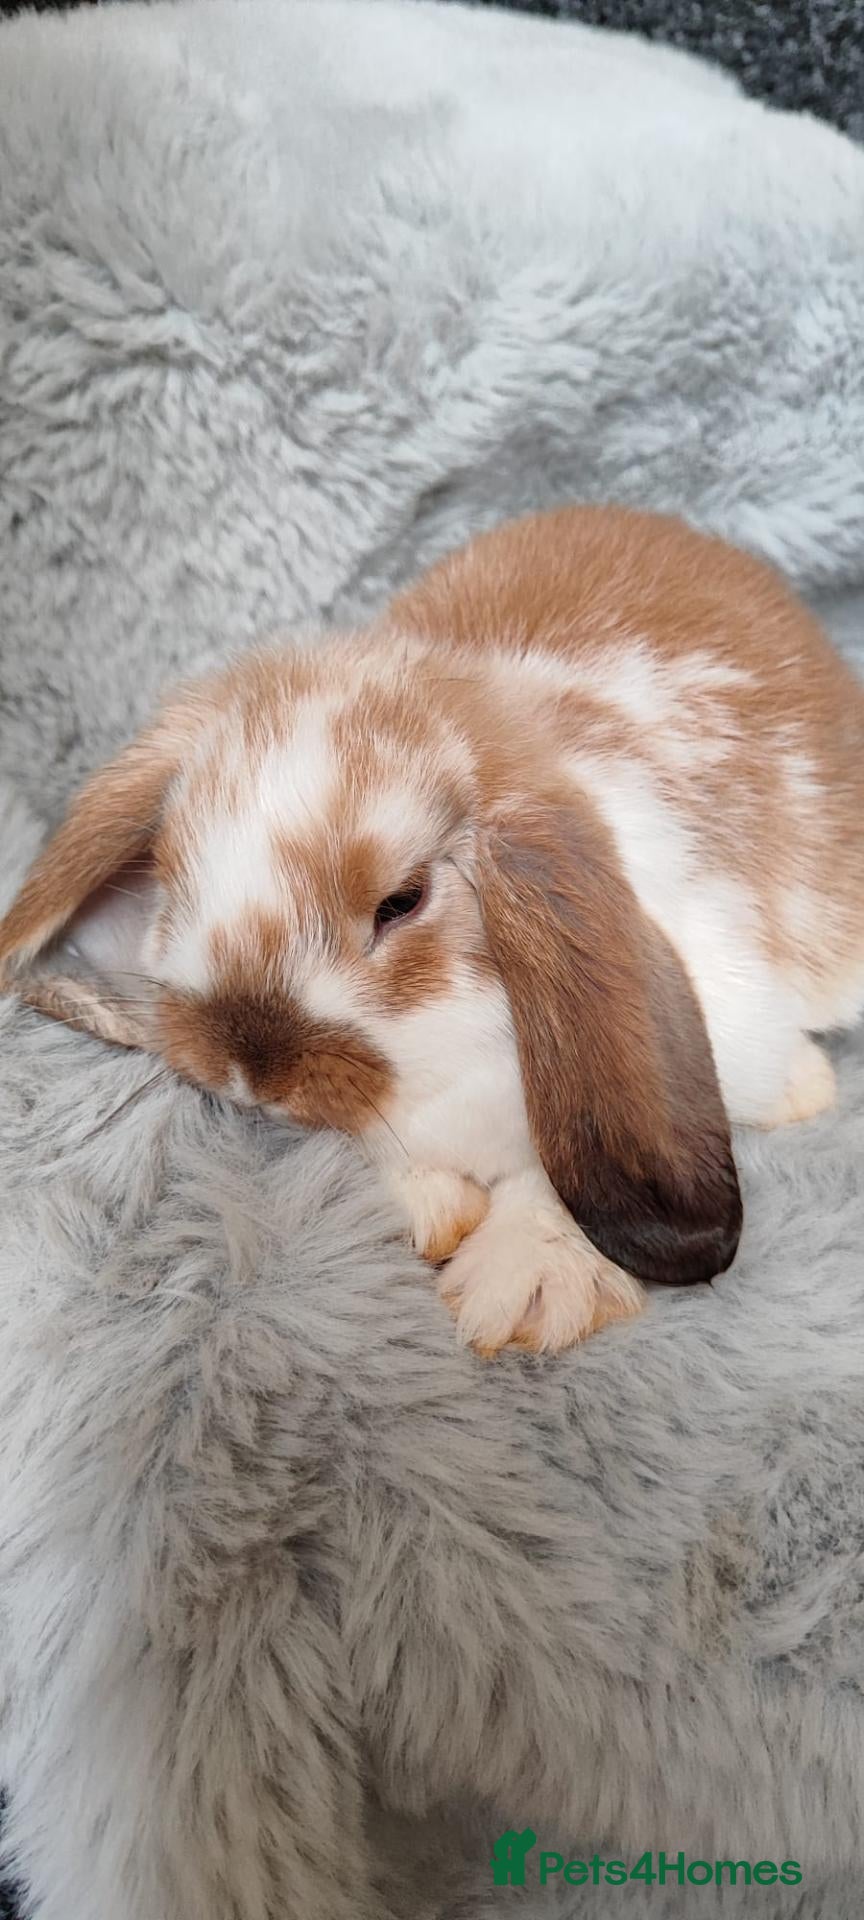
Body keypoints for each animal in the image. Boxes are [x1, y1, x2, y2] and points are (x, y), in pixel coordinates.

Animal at [2, 503, 864, 1355]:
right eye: (172, 873)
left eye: (403, 901)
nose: (251, 1072)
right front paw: (431, 1213)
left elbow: (561, 1169)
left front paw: (529, 1287)